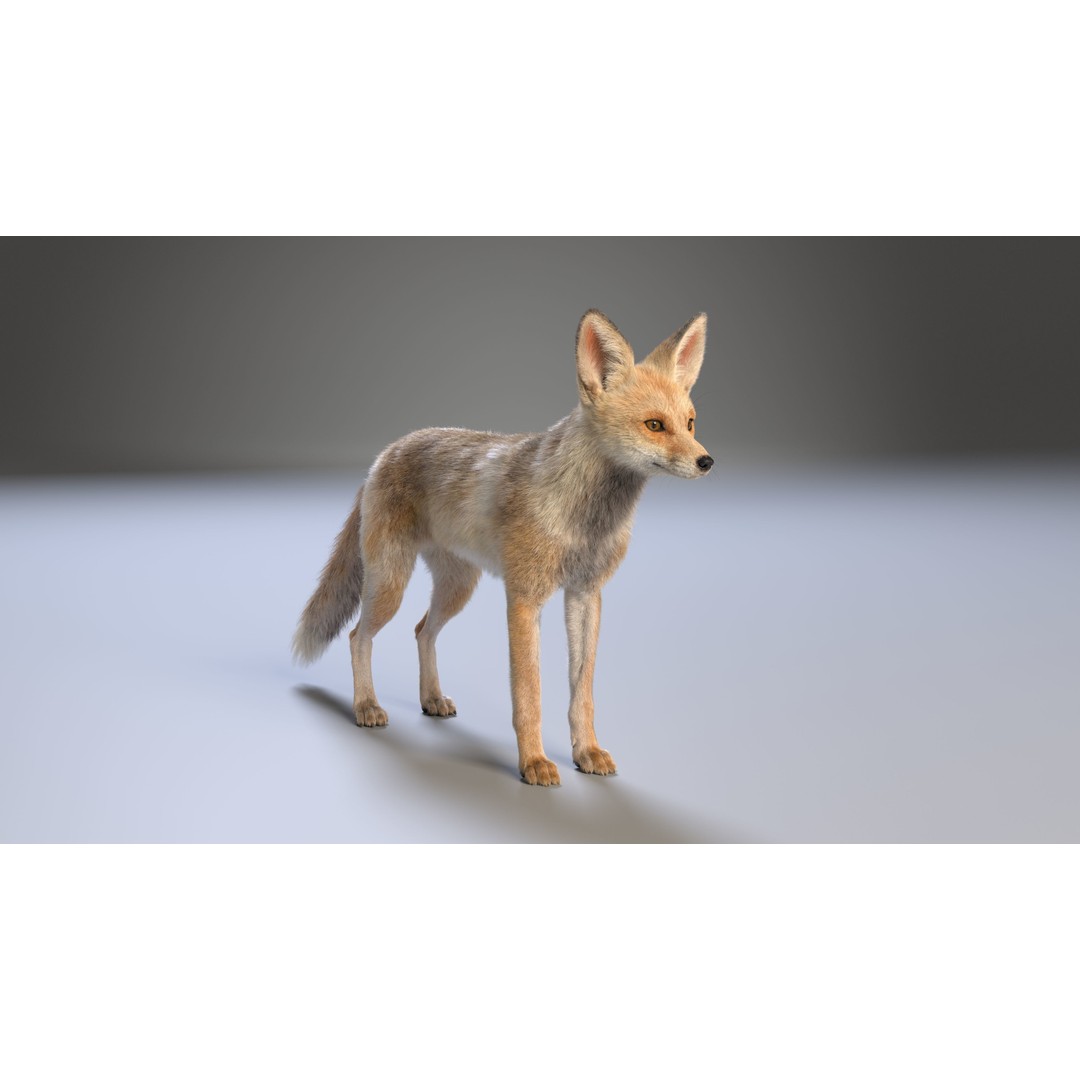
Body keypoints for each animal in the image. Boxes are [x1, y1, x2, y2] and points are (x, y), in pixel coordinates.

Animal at [293, 309, 713, 786]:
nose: (706, 461)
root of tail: (386, 453)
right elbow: (528, 694)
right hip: (389, 585)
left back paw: (431, 699)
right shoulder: (524, 597)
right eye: (654, 425)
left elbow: (582, 692)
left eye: (690, 423)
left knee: (422, 631)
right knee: (357, 636)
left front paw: (586, 751)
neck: (586, 520)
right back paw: (366, 705)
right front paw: (533, 763)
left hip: (457, 589)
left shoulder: (586, 594)